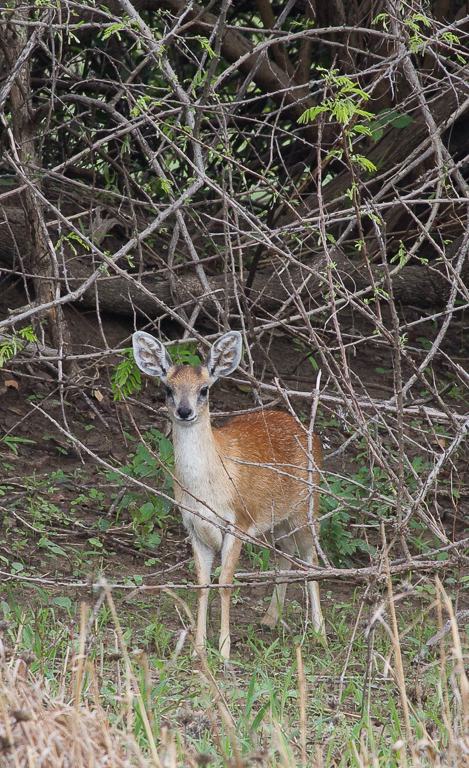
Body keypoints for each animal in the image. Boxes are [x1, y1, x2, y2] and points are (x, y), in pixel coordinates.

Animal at [131, 328, 322, 656]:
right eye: (167, 388)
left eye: (204, 389)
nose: (184, 411)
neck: (208, 491)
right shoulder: (193, 527)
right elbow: (202, 582)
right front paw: (197, 647)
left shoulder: (238, 521)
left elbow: (225, 582)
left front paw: (223, 650)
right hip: (278, 518)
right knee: (286, 553)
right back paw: (269, 619)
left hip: (308, 505)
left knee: (311, 558)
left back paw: (320, 632)